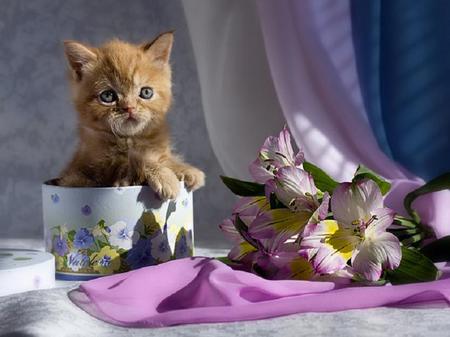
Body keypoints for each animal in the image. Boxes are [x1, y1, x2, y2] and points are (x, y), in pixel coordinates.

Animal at [59, 32, 205, 200]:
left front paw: (185, 169)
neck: (130, 140)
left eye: (146, 92)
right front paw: (165, 177)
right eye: (107, 96)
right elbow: (135, 161)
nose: (129, 108)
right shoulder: (96, 170)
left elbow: (162, 157)